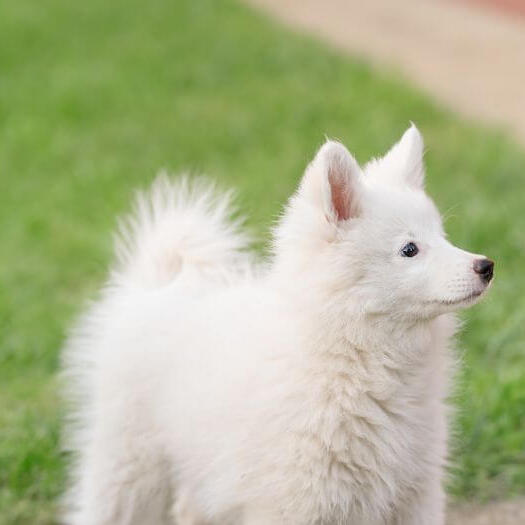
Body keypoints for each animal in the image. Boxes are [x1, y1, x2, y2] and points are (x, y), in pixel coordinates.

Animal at [61, 127, 492, 524]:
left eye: (444, 237)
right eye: (409, 249)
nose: (486, 266)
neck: (356, 355)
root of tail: (161, 282)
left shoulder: (415, 494)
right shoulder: (296, 502)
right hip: (129, 461)